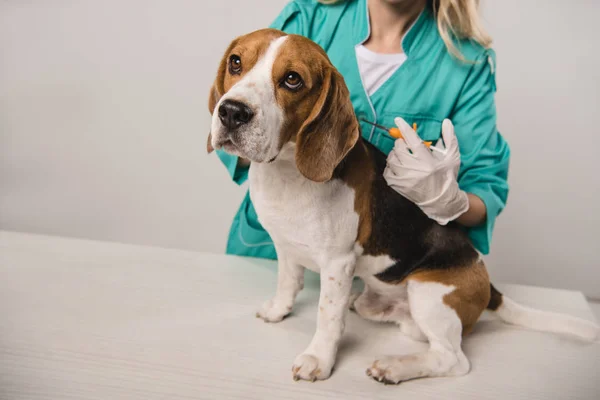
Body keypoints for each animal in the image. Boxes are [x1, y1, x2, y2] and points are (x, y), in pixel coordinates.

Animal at [205, 28, 596, 384]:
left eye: (292, 79)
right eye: (236, 62)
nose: (232, 112)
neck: (286, 173)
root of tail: (487, 283)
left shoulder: (337, 262)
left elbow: (327, 316)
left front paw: (319, 359)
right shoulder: (286, 246)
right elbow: (288, 282)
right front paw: (278, 310)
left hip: (428, 293)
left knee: (453, 359)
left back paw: (394, 367)